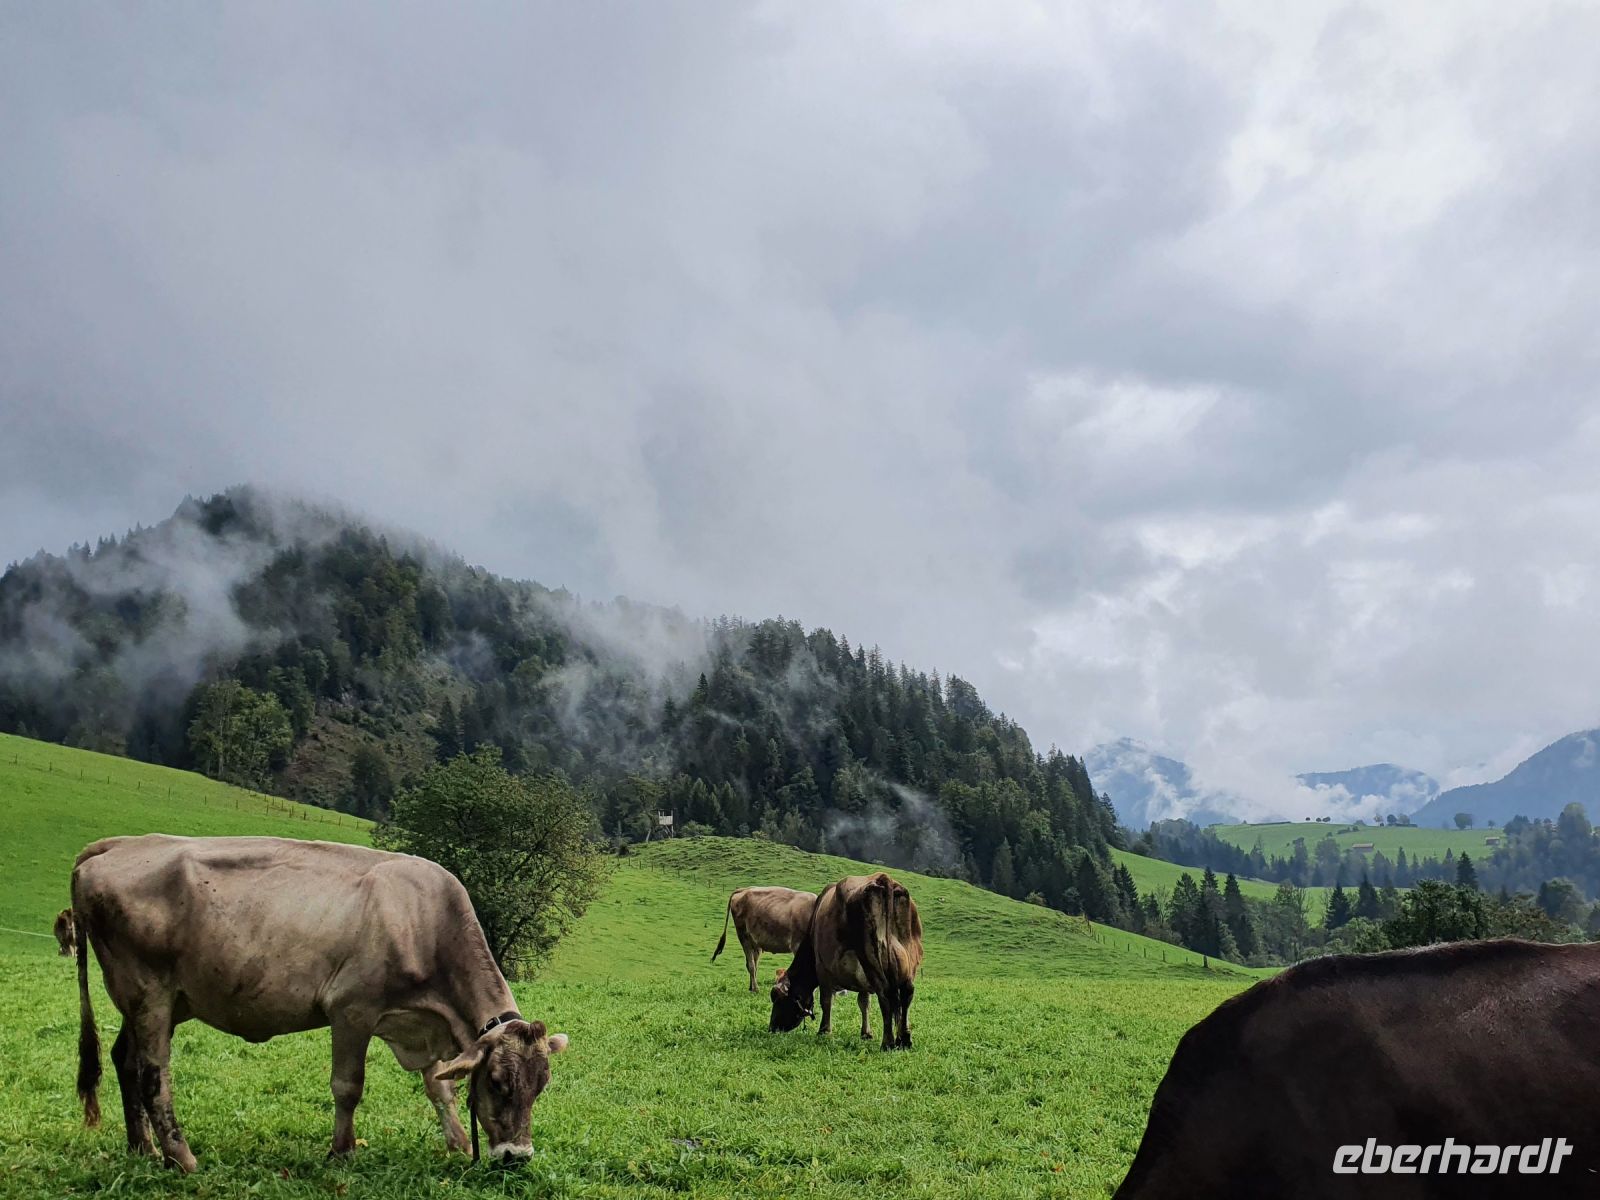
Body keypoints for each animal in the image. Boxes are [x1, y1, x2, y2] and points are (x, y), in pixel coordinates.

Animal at [71, 834, 569, 1172]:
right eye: (499, 1083)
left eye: (541, 1085)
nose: (518, 1155)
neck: (422, 920)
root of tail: (116, 845)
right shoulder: (353, 1010)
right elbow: (348, 1086)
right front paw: (342, 1151)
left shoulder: (418, 1024)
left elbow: (438, 1087)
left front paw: (459, 1144)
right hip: (149, 991)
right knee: (153, 1073)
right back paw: (182, 1157)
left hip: (154, 1000)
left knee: (124, 1059)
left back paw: (142, 1147)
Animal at [768, 872, 922, 1050]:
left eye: (777, 997)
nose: (771, 1027)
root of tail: (882, 878)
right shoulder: (862, 980)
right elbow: (864, 1002)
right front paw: (866, 1033)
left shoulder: (823, 969)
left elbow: (826, 1000)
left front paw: (824, 1031)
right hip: (908, 956)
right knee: (906, 992)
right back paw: (905, 1039)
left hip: (870, 955)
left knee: (885, 995)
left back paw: (888, 1042)